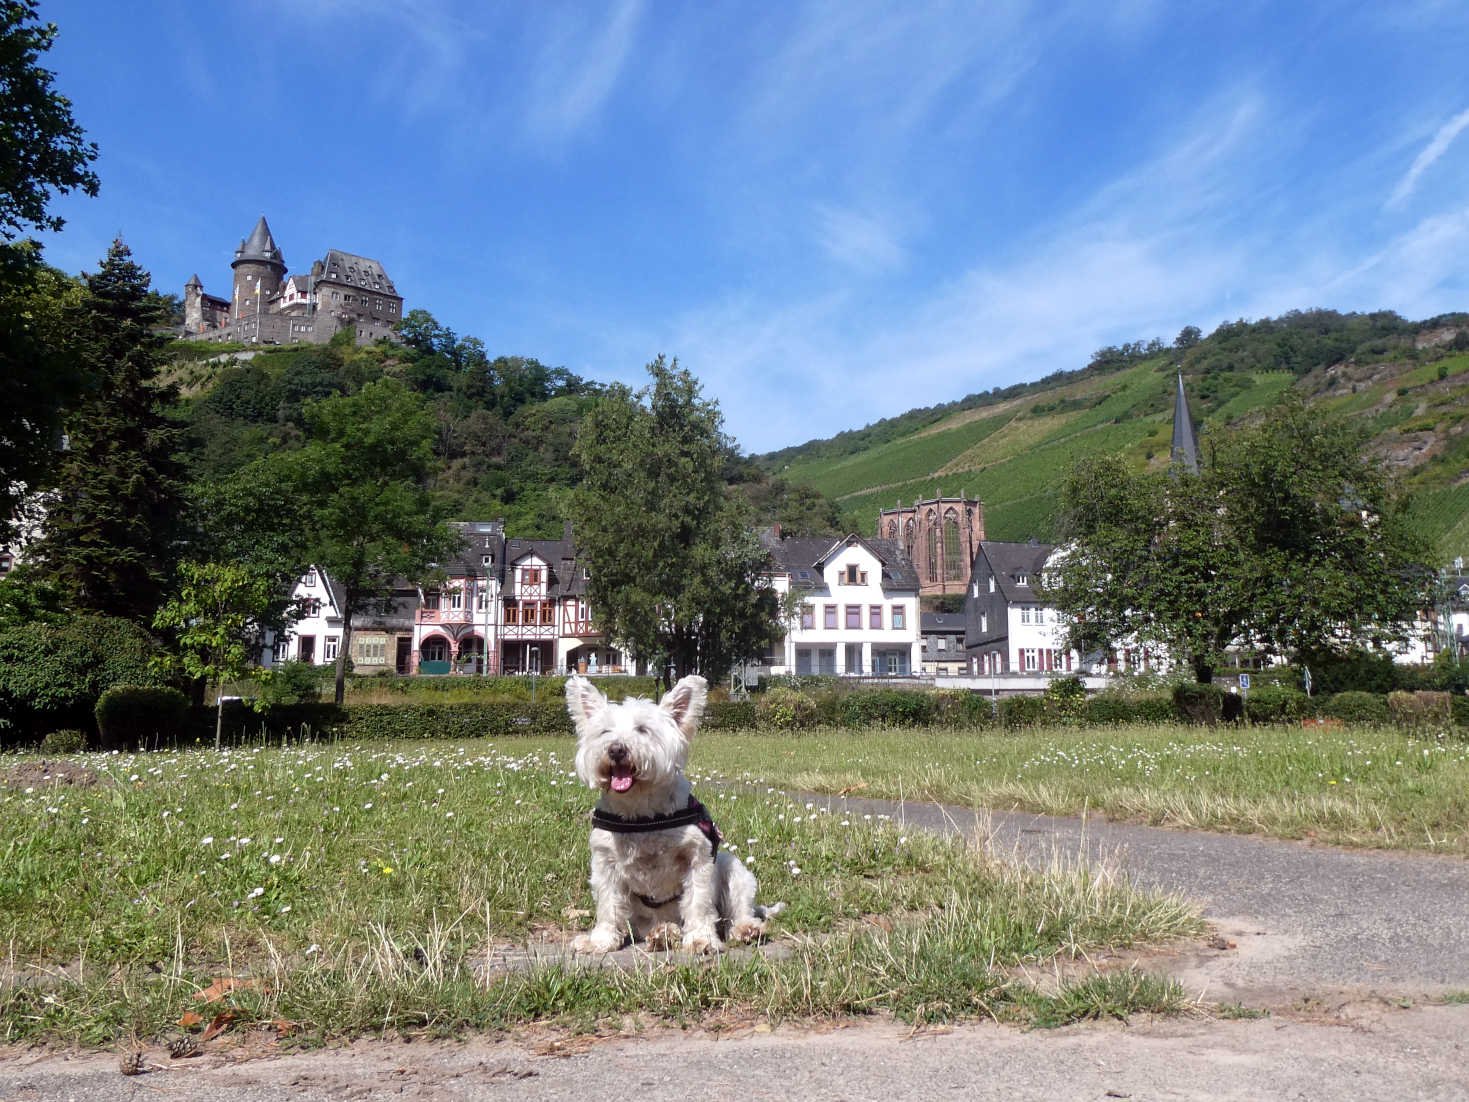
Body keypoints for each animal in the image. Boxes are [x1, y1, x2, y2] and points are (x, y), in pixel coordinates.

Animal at [567, 678, 787, 952]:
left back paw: (746, 929)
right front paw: (599, 941)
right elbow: (608, 906)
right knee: (653, 926)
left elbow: (699, 903)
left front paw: (702, 939)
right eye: (605, 731)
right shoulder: (605, 863)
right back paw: (663, 933)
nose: (616, 750)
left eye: (642, 729)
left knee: (738, 911)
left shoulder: (698, 858)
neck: (642, 815)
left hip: (733, 869)